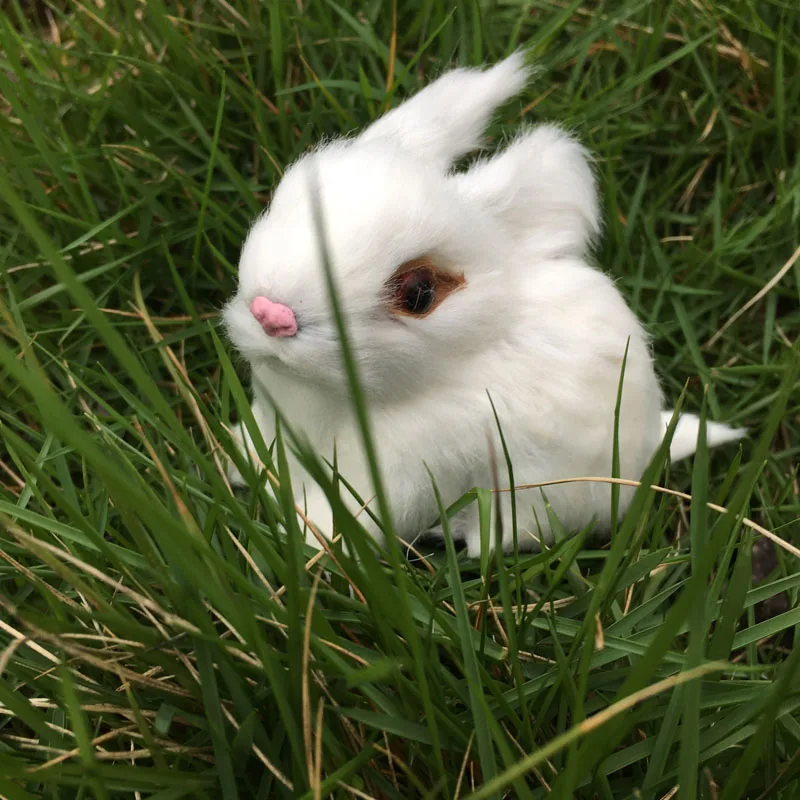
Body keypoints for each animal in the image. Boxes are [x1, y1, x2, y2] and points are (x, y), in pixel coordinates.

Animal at [222, 53, 746, 557]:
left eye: (419, 293)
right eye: (288, 195)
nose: (272, 313)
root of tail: (652, 444)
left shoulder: (395, 474)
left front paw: (310, 541)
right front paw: (237, 456)